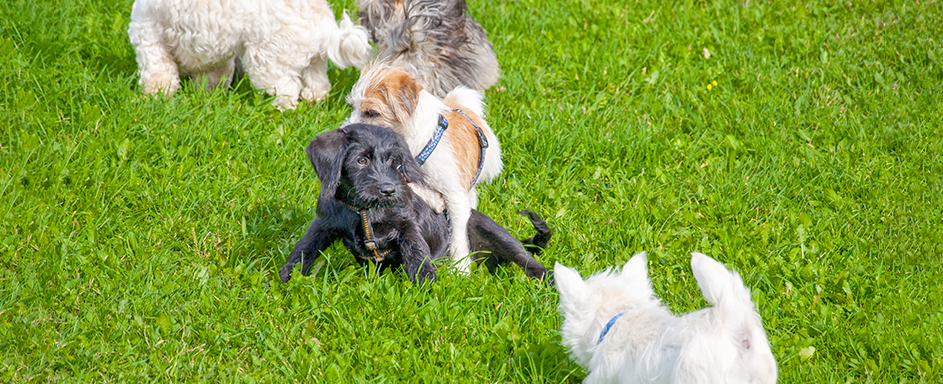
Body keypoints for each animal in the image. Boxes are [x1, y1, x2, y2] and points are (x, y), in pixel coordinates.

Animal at [129, 0, 372, 109]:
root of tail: (325, 23)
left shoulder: (148, 32)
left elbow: (158, 72)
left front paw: (154, 96)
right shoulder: (212, 47)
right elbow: (212, 76)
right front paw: (207, 95)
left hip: (266, 61)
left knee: (287, 90)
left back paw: (274, 111)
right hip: (313, 61)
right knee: (319, 84)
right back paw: (312, 99)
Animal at [276, 124, 548, 284]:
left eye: (394, 161)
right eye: (361, 160)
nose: (389, 190)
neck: (366, 210)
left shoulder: (408, 226)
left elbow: (416, 253)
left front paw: (425, 288)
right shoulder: (323, 224)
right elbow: (304, 250)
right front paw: (283, 280)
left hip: (489, 230)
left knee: (526, 259)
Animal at [344, 64, 506, 272]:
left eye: (371, 113)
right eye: (352, 107)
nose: (344, 132)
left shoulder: (455, 196)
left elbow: (459, 236)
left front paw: (460, 270)